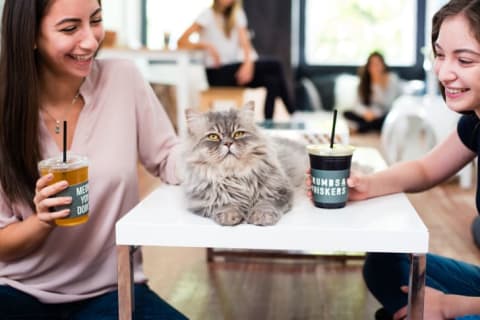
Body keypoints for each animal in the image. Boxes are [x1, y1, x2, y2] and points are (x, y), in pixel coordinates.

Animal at [180, 102, 308, 225]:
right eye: (213, 136)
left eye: (238, 134)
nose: (228, 143)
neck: (235, 177)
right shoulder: (204, 201)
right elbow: (224, 203)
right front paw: (229, 215)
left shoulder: (279, 191)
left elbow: (265, 203)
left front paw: (261, 216)